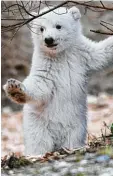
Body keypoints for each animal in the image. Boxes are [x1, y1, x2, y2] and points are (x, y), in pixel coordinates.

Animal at [3, 6, 113, 155]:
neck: (59, 55)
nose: (48, 40)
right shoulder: (46, 66)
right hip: (38, 124)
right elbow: (40, 84)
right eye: (41, 28)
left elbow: (101, 54)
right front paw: (14, 88)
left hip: (76, 126)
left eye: (58, 26)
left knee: (72, 140)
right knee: (38, 142)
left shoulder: (82, 54)